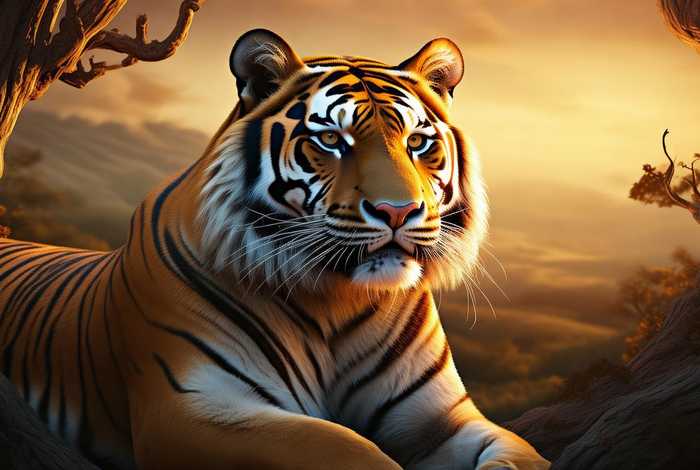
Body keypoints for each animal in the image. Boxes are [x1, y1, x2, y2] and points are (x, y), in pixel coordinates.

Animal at [0, 29, 549, 470]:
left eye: (417, 142)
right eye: (332, 140)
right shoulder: (189, 407)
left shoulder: (442, 418)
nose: (398, 211)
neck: (339, 300)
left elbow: (518, 453)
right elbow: (345, 448)